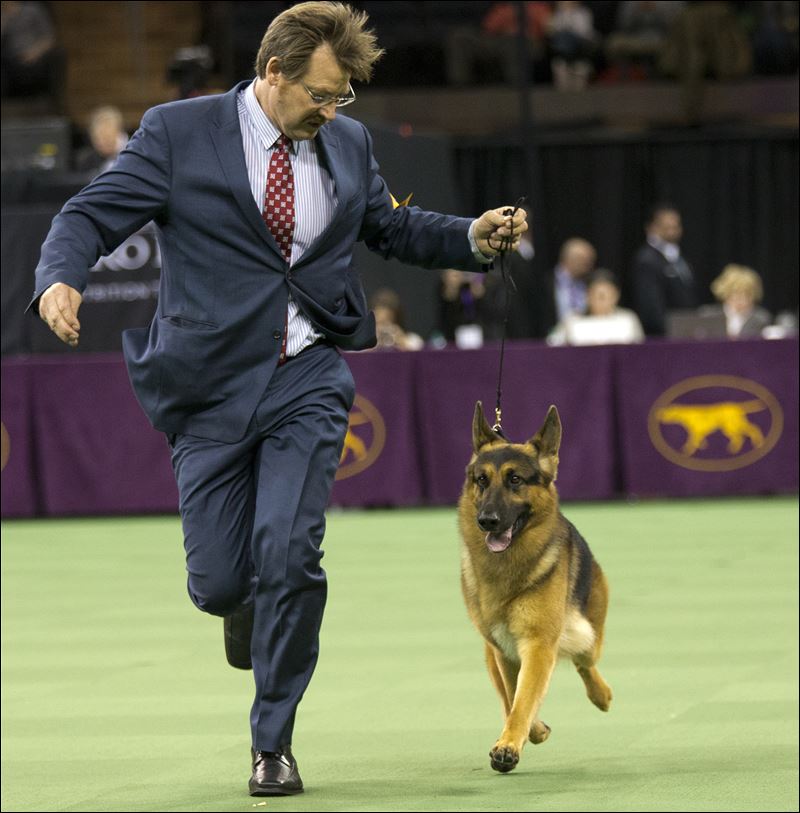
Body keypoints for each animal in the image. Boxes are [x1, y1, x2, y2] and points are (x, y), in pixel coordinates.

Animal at [456, 402, 612, 772]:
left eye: (515, 479)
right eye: (481, 480)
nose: (487, 521)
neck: (506, 569)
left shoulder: (538, 644)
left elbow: (523, 699)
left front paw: (510, 743)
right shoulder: (505, 650)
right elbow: (515, 696)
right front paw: (527, 733)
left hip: (586, 635)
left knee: (585, 662)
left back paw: (601, 695)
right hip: (492, 653)